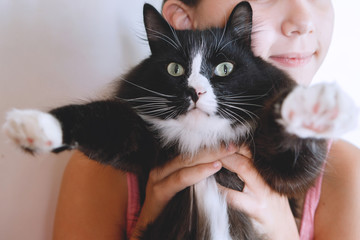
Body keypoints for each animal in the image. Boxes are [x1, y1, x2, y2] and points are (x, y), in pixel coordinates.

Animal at [2, 2, 358, 240]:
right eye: (175, 69)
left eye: (224, 68)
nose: (195, 91)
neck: (201, 138)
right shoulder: (138, 139)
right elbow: (94, 117)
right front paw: (32, 126)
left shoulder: (286, 178)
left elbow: (291, 144)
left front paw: (313, 103)